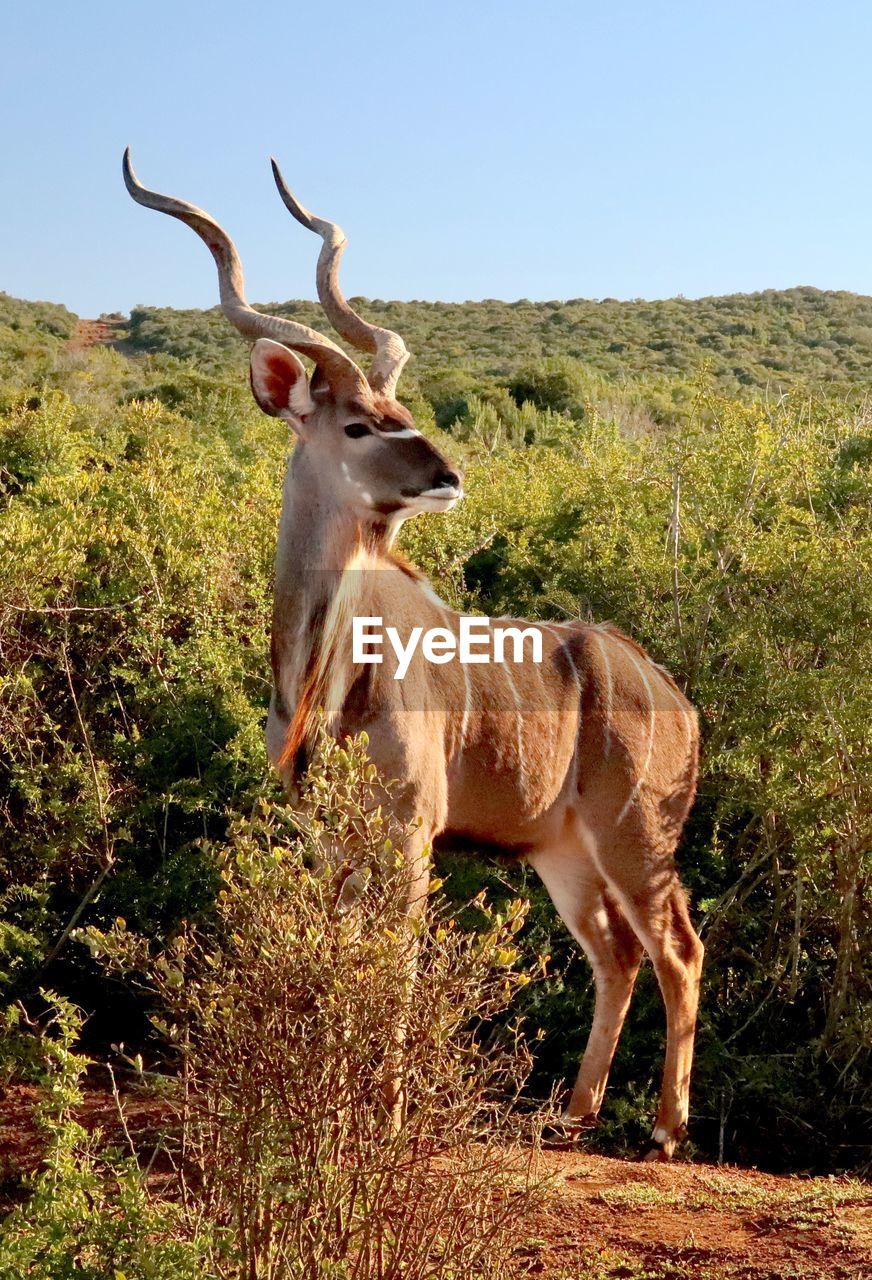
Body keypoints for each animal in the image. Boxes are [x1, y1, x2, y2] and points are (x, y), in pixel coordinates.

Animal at [126, 149, 701, 1162]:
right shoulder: (331, 844)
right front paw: (327, 1110)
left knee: (677, 947)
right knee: (617, 951)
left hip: (637, 835)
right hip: (562, 851)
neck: (327, 683)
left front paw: (383, 1117)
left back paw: (667, 1130)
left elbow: (394, 970)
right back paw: (573, 1114)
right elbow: (339, 963)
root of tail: (677, 698)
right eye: (360, 424)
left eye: (397, 409)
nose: (449, 475)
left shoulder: (408, 835)